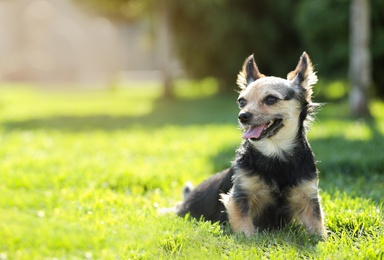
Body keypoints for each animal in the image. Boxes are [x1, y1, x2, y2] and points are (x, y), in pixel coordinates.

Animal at [176, 51, 326, 239]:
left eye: (271, 99)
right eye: (241, 101)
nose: (243, 116)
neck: (275, 153)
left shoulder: (308, 196)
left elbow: (317, 225)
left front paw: (322, 240)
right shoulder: (240, 196)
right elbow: (244, 228)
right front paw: (248, 240)